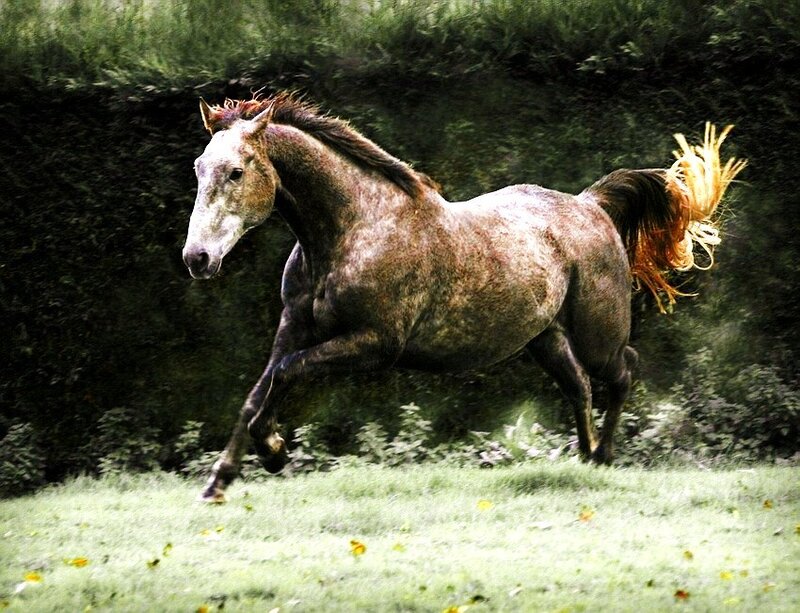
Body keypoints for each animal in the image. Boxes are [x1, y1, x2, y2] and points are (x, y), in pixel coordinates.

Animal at [182, 92, 745, 502]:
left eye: (236, 171)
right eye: (198, 167)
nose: (197, 258)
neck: (354, 228)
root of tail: (593, 205)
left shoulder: (375, 343)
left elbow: (284, 374)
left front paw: (275, 451)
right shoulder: (294, 326)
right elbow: (257, 393)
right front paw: (219, 481)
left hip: (597, 334)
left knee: (623, 371)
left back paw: (603, 456)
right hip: (546, 338)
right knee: (580, 387)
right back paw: (584, 457)